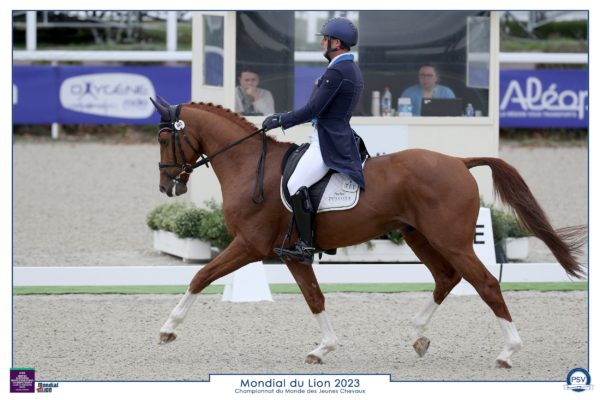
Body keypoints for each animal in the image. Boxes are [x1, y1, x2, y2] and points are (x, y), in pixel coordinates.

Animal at [151, 99, 584, 368]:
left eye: (163, 138)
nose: (167, 187)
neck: (247, 165)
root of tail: (459, 162)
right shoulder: (291, 253)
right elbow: (314, 297)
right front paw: (322, 349)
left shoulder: (249, 245)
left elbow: (200, 275)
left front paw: (168, 329)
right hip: (419, 236)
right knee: (447, 278)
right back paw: (418, 335)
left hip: (451, 240)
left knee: (486, 284)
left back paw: (508, 352)